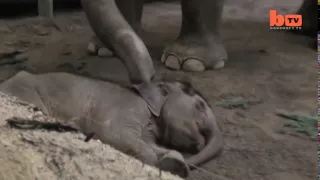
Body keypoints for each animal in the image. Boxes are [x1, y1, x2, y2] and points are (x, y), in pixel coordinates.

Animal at [0, 71, 222, 178]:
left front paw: (175, 163)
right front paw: (168, 165)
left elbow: (152, 144)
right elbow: (115, 134)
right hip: (26, 91)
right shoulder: (128, 108)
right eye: (200, 106)